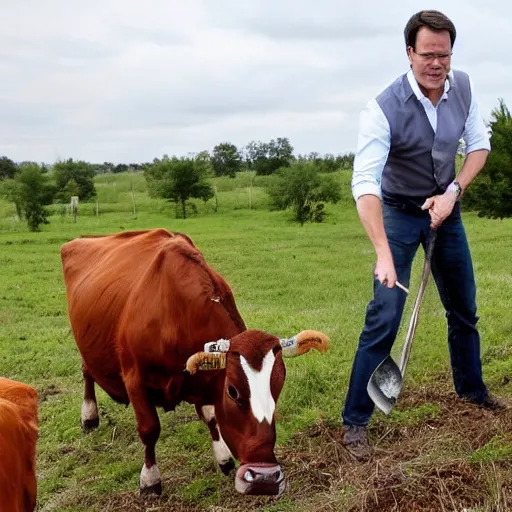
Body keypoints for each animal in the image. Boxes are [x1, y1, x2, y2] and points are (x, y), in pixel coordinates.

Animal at [60, 230, 330, 498]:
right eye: (233, 391)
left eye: (278, 388)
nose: (266, 477)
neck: (174, 315)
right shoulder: (134, 377)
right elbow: (149, 429)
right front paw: (150, 479)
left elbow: (211, 416)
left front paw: (223, 458)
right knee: (86, 372)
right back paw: (89, 416)